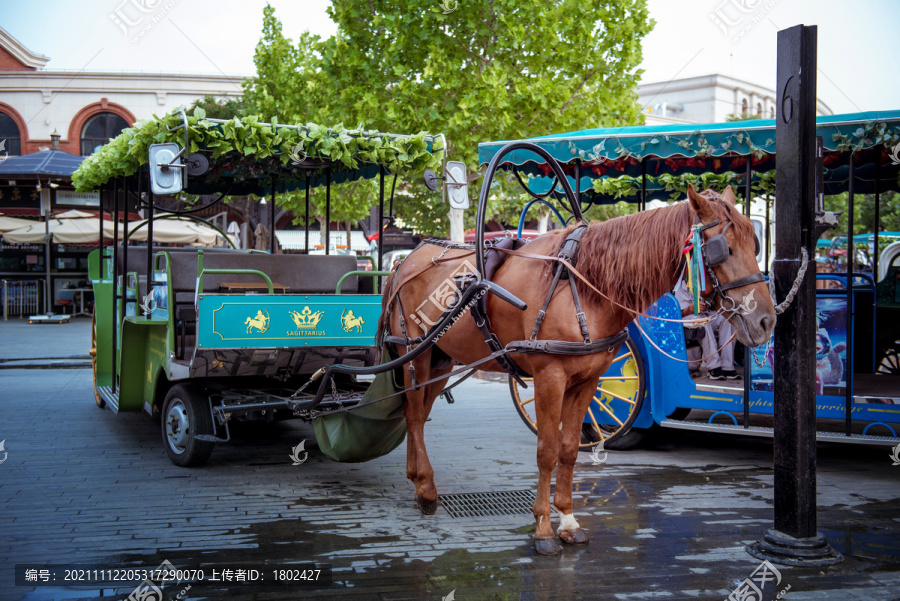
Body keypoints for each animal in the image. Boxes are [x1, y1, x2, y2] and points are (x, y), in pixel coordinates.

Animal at [378, 185, 772, 556]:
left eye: (754, 243)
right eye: (723, 249)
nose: (766, 320)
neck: (583, 285)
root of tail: (405, 262)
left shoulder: (589, 380)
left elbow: (568, 449)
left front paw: (567, 520)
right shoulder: (549, 377)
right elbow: (546, 450)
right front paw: (542, 529)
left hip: (441, 358)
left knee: (418, 412)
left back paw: (417, 480)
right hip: (414, 355)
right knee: (414, 414)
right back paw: (425, 488)